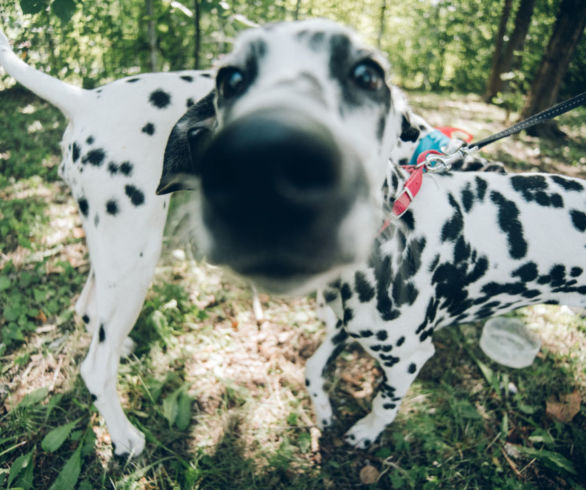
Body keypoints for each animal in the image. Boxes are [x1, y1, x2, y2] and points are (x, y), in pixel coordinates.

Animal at [160, 18, 584, 448]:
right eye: (230, 79)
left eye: (369, 75)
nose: (265, 160)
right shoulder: (341, 328)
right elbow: (311, 369)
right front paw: (323, 412)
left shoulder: (408, 358)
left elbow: (385, 401)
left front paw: (367, 431)